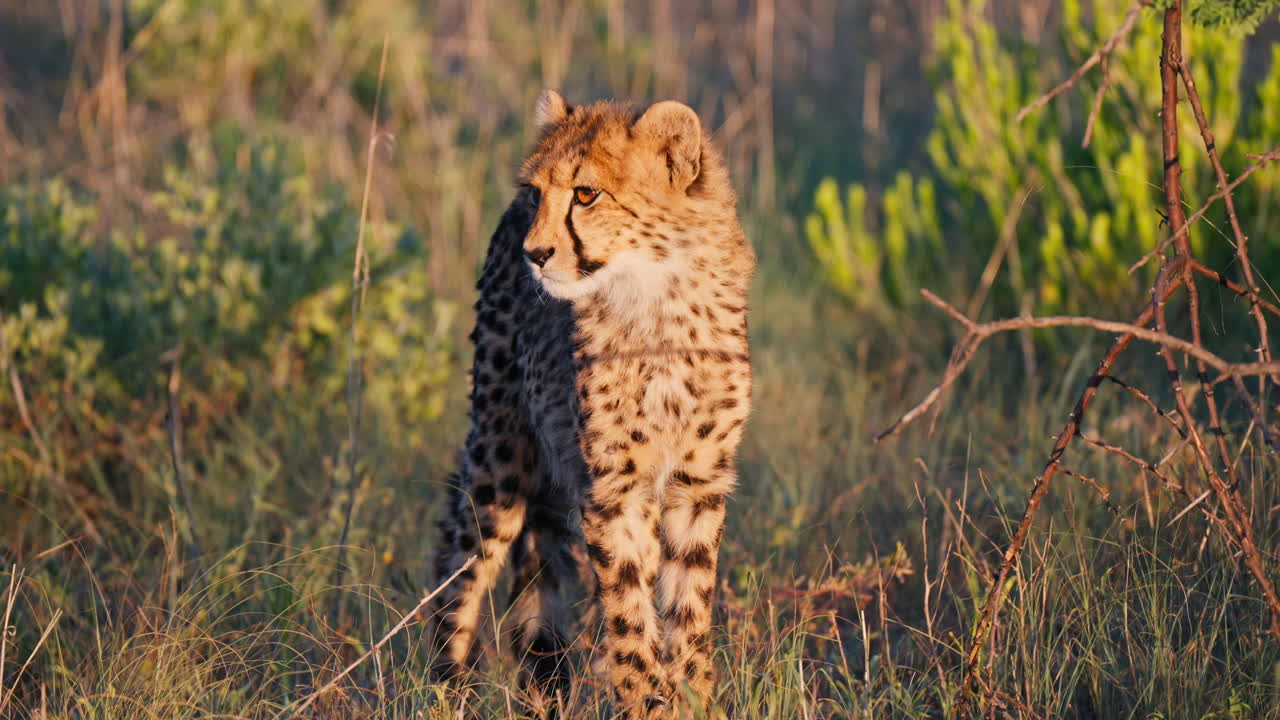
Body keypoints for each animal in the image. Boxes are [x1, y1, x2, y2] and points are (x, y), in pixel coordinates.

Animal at [427, 89, 754, 719]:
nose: (534, 253)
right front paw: (649, 701)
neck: (657, 300)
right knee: (460, 554)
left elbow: (686, 605)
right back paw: (445, 684)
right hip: (502, 453)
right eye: (537, 192)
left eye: (586, 194)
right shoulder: (613, 488)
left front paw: (695, 698)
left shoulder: (698, 482)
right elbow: (628, 614)